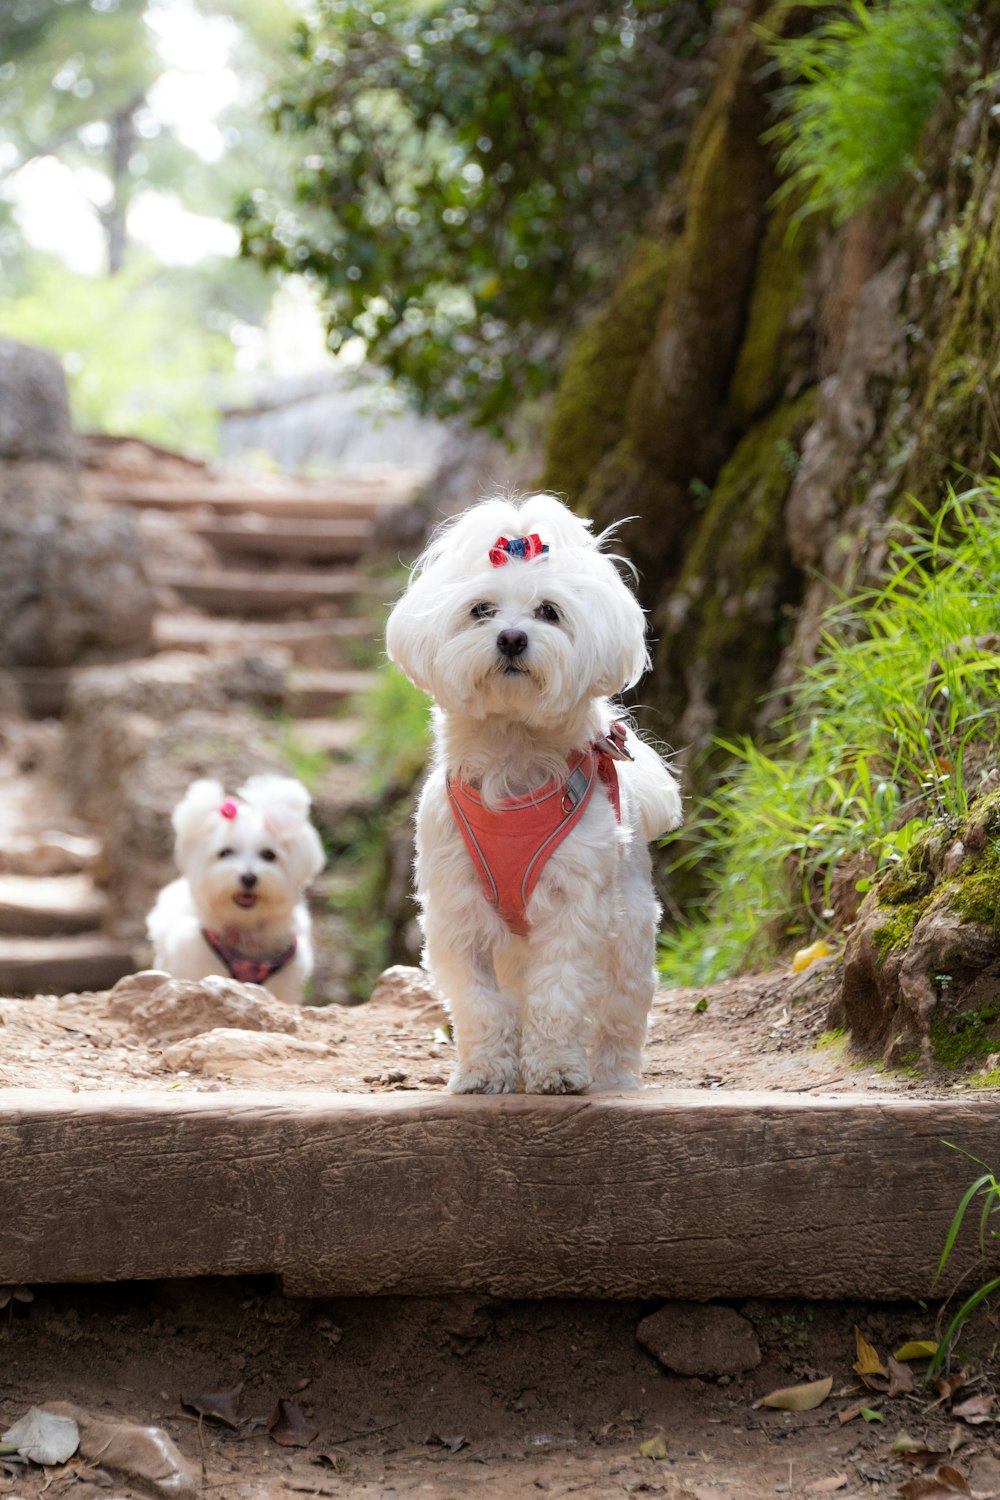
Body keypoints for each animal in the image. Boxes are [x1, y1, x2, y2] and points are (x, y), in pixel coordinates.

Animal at [146, 774, 326, 1008]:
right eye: (225, 852)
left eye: (269, 855)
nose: (248, 878)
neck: (245, 925)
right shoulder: (198, 962)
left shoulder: (283, 981)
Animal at [386, 492, 683, 1092]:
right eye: (481, 610)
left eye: (549, 611)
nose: (511, 638)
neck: (514, 755)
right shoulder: (457, 908)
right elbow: (479, 1002)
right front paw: (484, 1072)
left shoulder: (575, 905)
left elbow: (560, 995)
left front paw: (557, 1071)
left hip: (631, 931)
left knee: (621, 1012)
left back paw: (613, 1078)